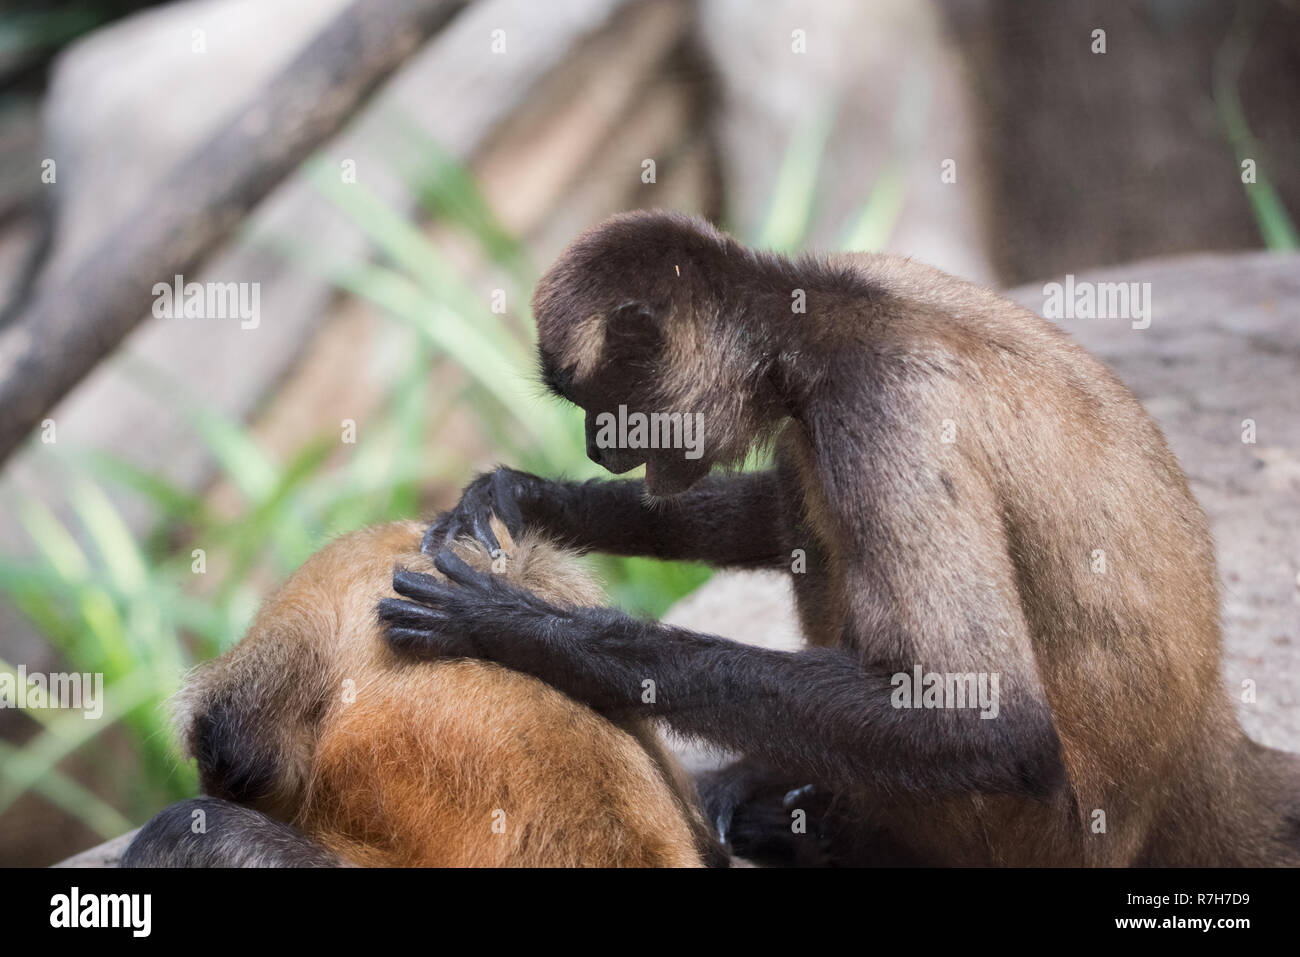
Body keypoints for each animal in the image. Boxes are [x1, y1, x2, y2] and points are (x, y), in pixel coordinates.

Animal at [379, 209, 1300, 868]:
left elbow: (993, 722)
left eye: (596, 408)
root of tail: (1206, 755)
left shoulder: (877, 403)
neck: (831, 310)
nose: (597, 448)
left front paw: (521, 629)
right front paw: (527, 498)